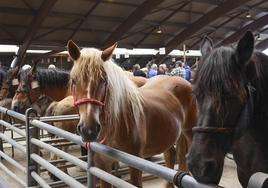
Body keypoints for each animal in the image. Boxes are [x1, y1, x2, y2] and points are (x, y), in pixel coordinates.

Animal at [67, 40, 197, 187]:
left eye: (104, 80)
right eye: (74, 80)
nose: (88, 130)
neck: (119, 122)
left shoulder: (135, 163)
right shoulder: (102, 164)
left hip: (189, 131)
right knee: (171, 156)